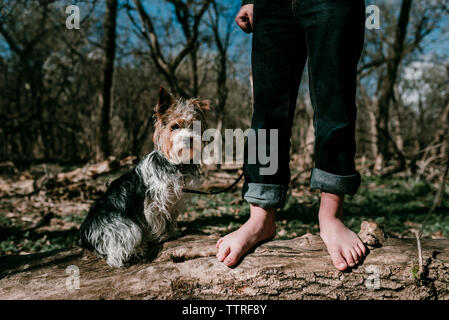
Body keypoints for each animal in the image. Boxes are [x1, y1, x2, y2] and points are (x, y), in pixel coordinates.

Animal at [79, 87, 209, 268]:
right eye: (175, 126)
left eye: (194, 126)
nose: (189, 139)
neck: (176, 164)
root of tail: (87, 232)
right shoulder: (154, 202)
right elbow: (158, 219)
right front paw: (161, 236)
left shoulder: (175, 199)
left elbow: (171, 218)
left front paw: (171, 233)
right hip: (124, 228)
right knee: (116, 254)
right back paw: (137, 249)